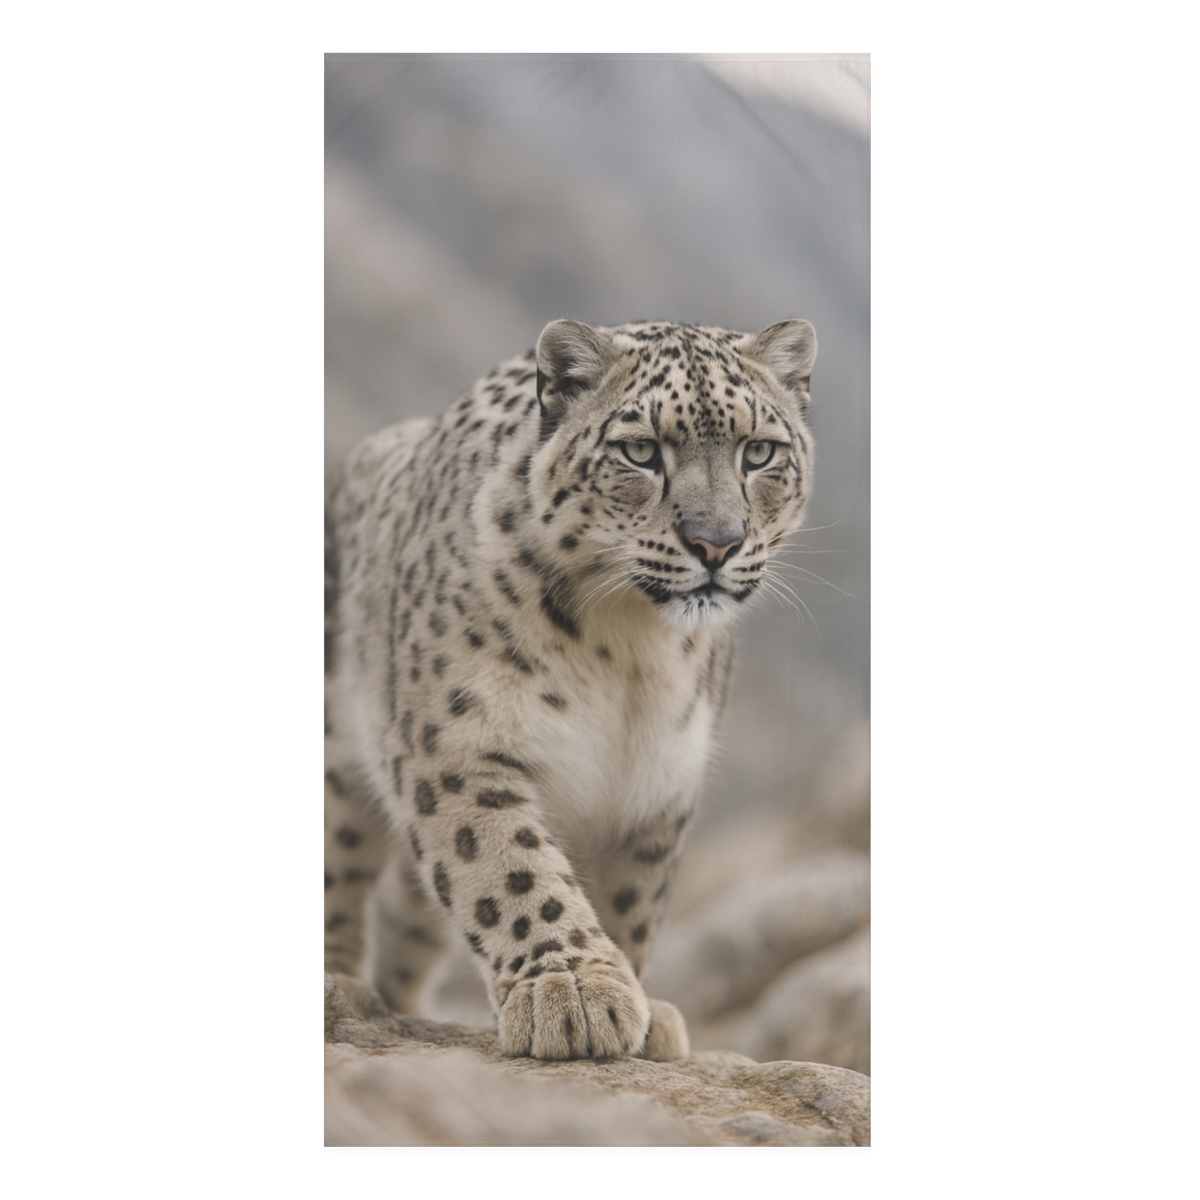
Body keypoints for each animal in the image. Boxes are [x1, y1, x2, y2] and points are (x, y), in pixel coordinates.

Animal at [324, 316, 818, 1061]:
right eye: (641, 450)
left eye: (759, 451)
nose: (717, 543)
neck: (631, 656)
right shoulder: (459, 742)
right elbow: (509, 865)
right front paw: (574, 993)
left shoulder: (656, 785)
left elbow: (630, 899)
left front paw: (639, 1009)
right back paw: (337, 985)